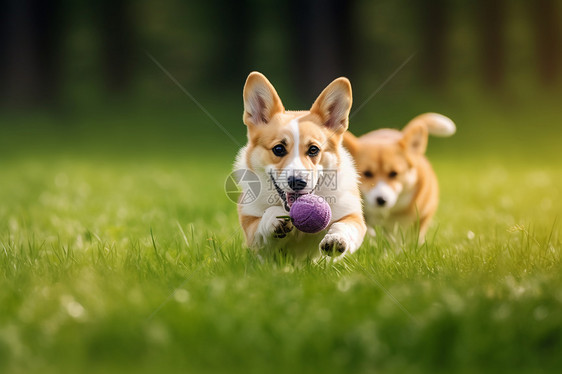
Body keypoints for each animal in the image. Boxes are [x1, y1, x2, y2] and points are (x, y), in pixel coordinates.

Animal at [234, 72, 366, 260]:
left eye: (313, 149)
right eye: (279, 149)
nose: (297, 182)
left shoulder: (353, 216)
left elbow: (344, 226)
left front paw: (335, 240)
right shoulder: (253, 231)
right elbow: (264, 220)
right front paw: (274, 217)